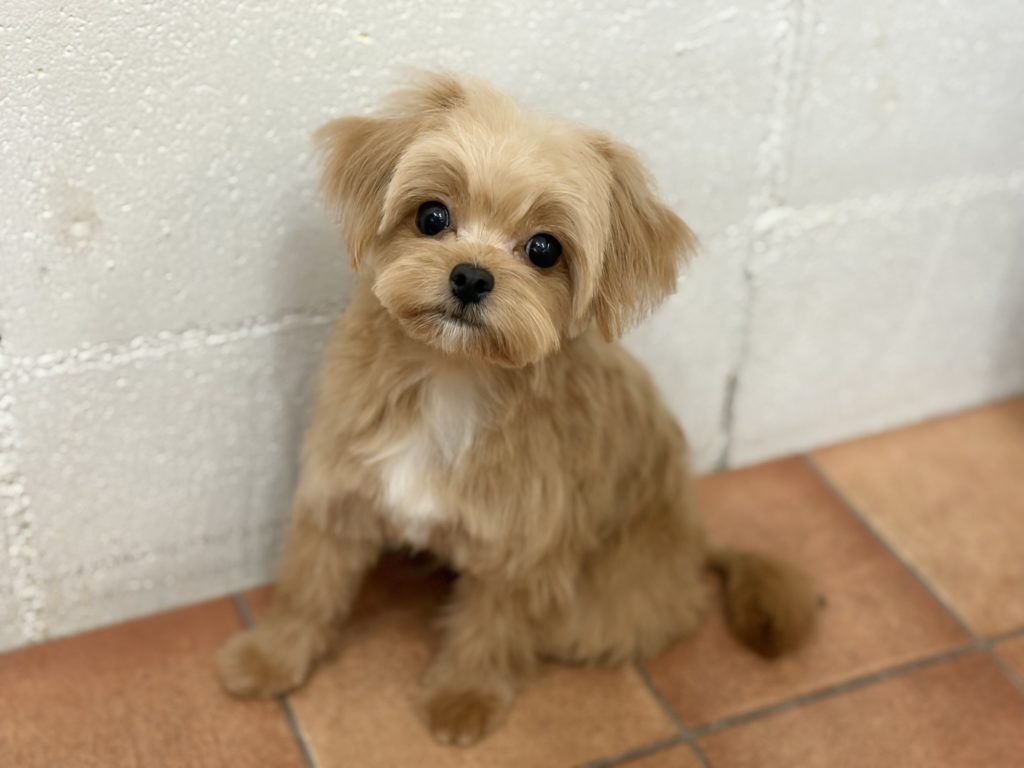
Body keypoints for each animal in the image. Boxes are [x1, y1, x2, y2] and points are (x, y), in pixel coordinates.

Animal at [216, 72, 819, 746]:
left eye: (544, 249)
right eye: (432, 215)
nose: (471, 277)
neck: (453, 377)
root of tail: (695, 543)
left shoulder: (522, 548)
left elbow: (490, 630)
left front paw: (463, 698)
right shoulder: (340, 493)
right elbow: (307, 589)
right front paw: (271, 657)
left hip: (600, 608)